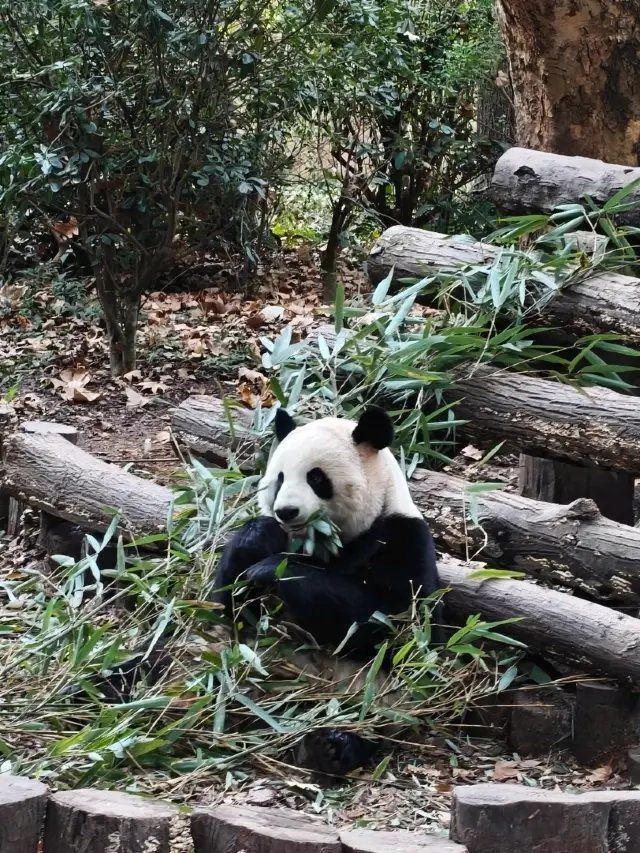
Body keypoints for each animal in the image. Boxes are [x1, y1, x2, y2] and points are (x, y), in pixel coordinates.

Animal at [214, 405, 441, 777]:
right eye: (279, 478)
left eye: (316, 478)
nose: (286, 511)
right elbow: (230, 606)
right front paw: (259, 538)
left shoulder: (402, 540)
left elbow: (390, 623)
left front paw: (271, 570)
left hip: (370, 691)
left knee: (369, 716)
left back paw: (330, 747)